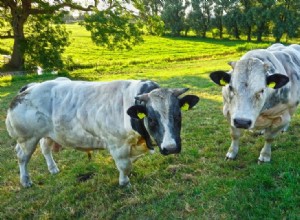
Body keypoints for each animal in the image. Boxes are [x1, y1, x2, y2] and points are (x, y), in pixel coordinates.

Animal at [5, 77, 199, 187]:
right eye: (151, 119)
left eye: (178, 115)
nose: (171, 147)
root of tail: (29, 88)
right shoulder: (117, 145)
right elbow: (125, 165)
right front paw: (124, 182)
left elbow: (129, 163)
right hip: (26, 138)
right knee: (22, 157)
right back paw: (25, 181)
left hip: (48, 134)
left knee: (45, 148)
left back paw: (53, 168)